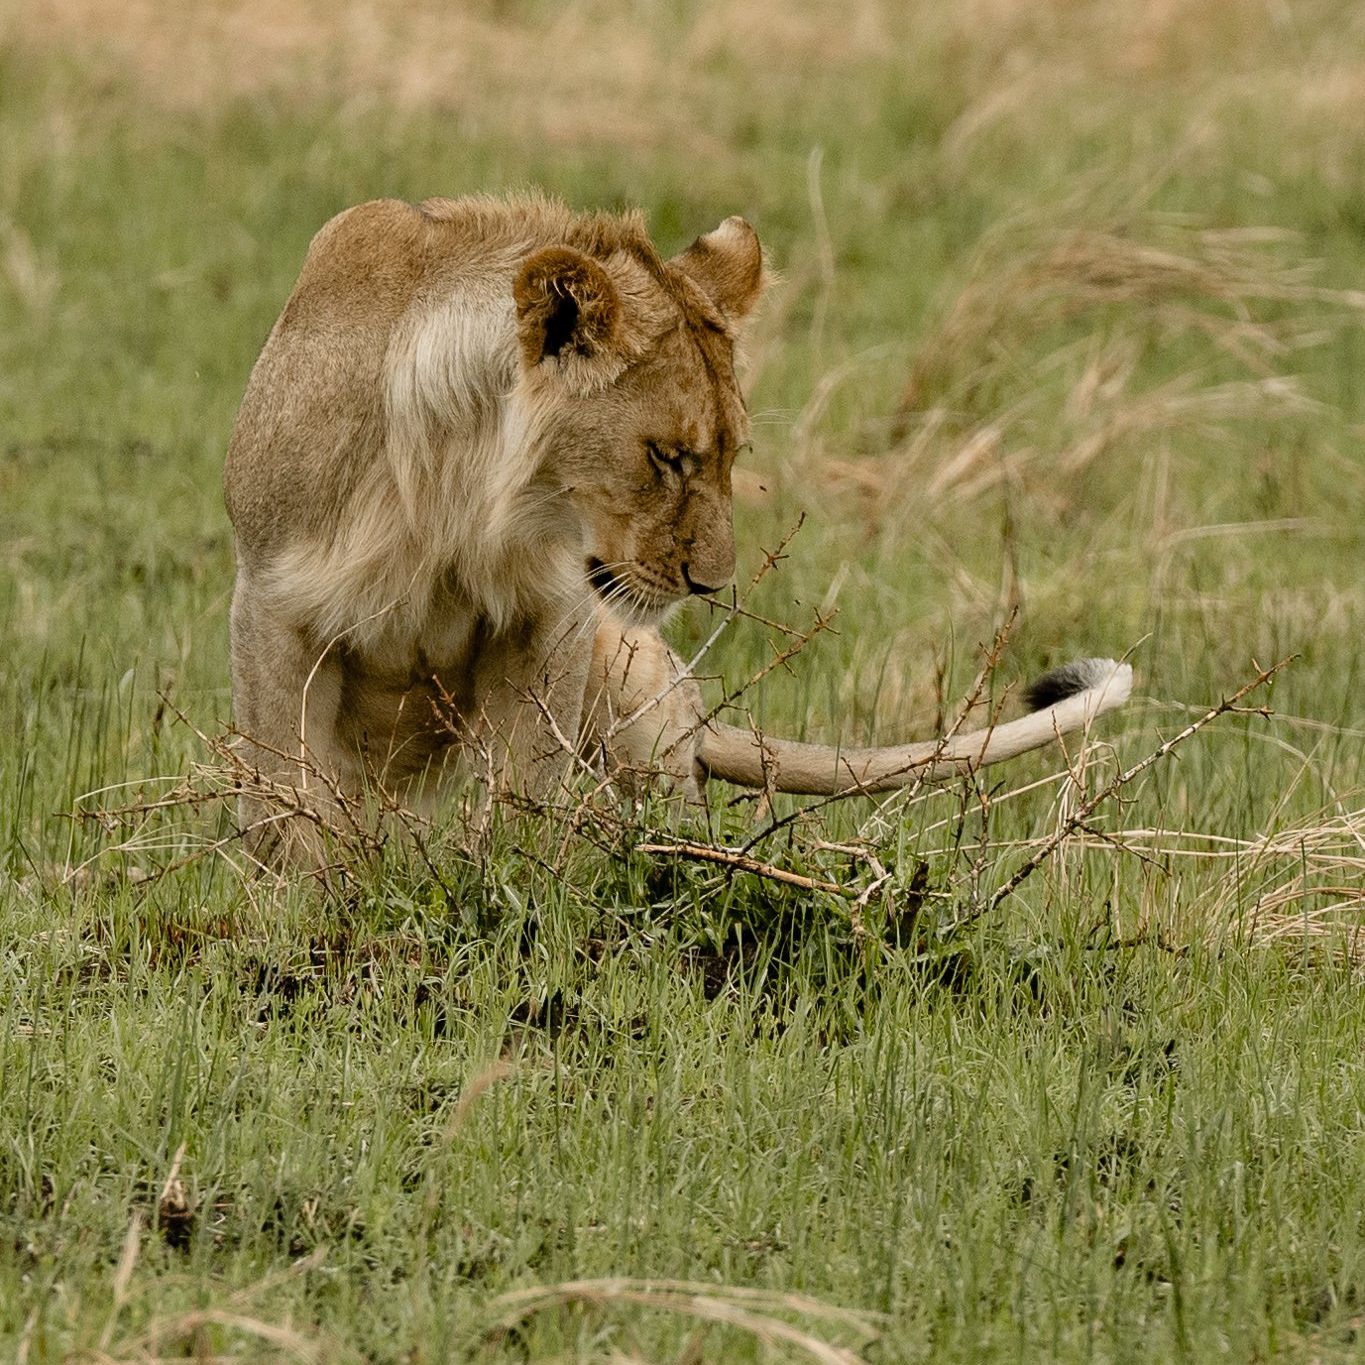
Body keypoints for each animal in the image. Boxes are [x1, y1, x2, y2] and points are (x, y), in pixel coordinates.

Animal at [224, 193, 1130, 862]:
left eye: (731, 452)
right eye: (666, 456)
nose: (713, 582)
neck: (457, 496)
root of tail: (694, 706)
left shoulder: (552, 618)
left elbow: (520, 790)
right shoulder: (270, 604)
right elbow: (286, 807)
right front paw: (299, 921)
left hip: (630, 678)